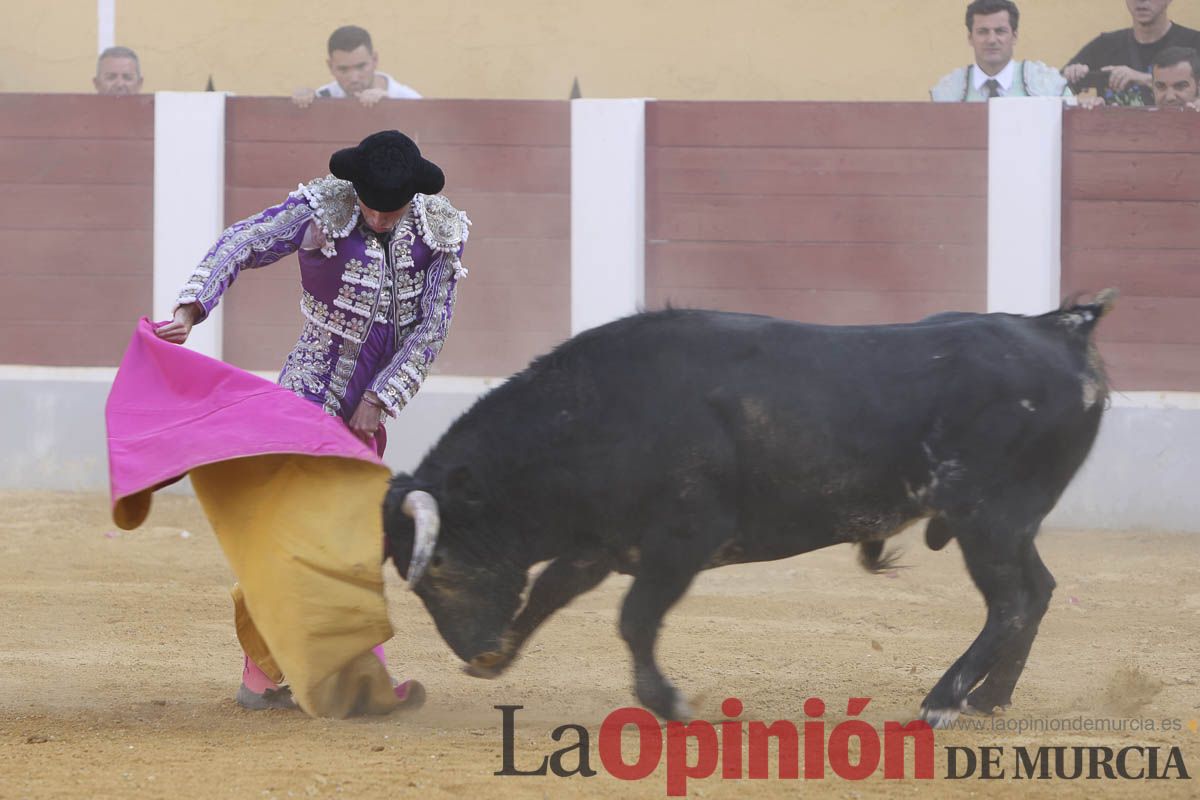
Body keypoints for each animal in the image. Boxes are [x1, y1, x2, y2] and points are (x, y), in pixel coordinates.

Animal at [381, 296, 1113, 724]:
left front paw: (670, 703)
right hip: (1007, 525)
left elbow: (633, 619)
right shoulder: (603, 543)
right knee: (1038, 592)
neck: (595, 411)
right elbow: (549, 592)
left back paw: (942, 702)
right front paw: (500, 659)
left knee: (1012, 601)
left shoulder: (684, 538)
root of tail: (1059, 327)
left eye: (436, 564)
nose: (473, 649)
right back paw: (988, 697)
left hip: (987, 518)